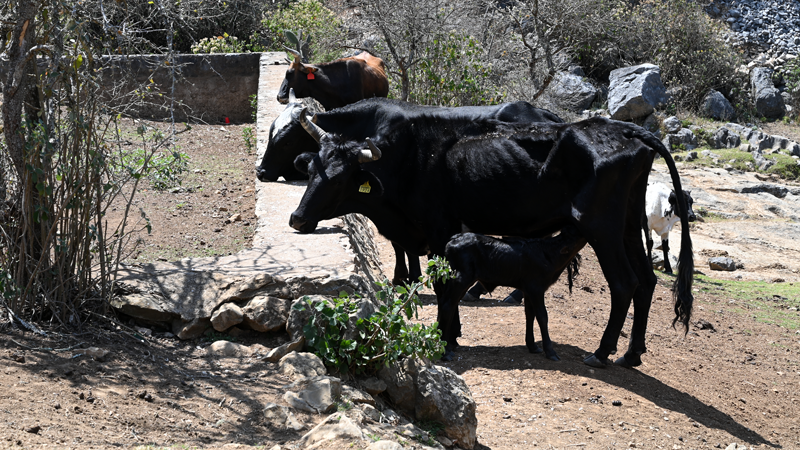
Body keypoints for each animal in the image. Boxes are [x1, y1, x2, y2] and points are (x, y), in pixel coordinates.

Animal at [256, 98, 564, 284]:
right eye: (310, 171)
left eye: (285, 141)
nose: (260, 171)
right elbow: (400, 245)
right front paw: (406, 275)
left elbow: (402, 246)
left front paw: (407, 275)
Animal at [440, 227, 584, 360]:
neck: (549, 253)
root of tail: (454, 239)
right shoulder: (536, 288)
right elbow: (542, 316)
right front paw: (550, 351)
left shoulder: (528, 290)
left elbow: (530, 314)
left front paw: (532, 346)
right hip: (461, 277)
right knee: (447, 306)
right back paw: (445, 352)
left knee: (450, 305)